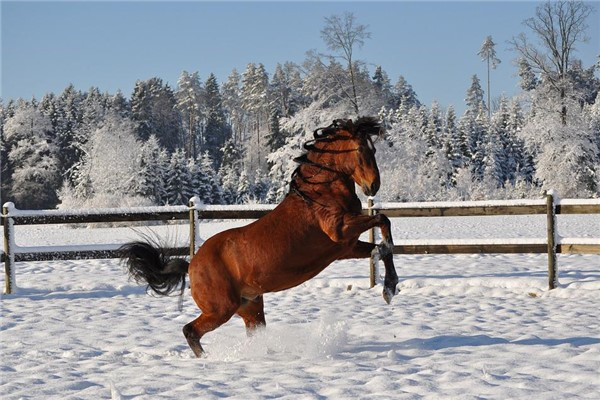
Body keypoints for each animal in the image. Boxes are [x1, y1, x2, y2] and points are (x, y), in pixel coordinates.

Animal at [121, 117, 398, 358]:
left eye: (373, 149)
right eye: (361, 149)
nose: (373, 185)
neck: (320, 193)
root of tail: (192, 265)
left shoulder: (345, 247)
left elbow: (381, 249)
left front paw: (389, 288)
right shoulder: (339, 230)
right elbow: (383, 220)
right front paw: (389, 286)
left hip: (250, 307)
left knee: (250, 332)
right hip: (221, 309)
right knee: (190, 331)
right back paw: (209, 359)